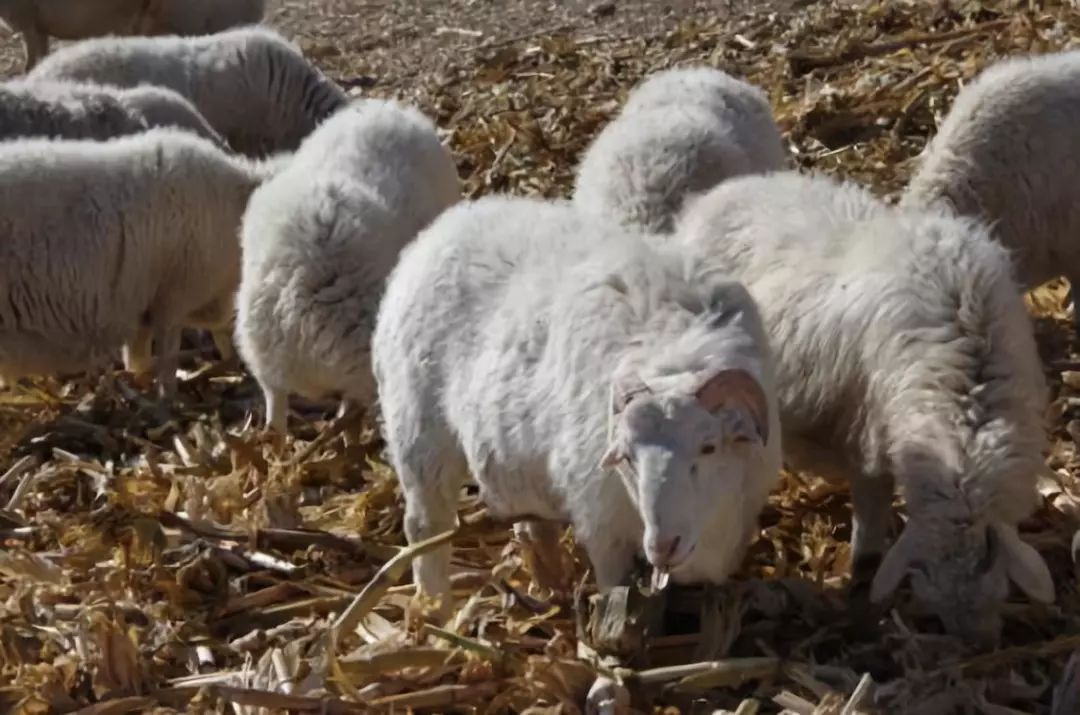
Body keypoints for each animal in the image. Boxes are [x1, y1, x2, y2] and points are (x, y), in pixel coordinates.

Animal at [678, 170, 1049, 648]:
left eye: (993, 568)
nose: (978, 644)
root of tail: (720, 192)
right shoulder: (870, 438)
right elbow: (870, 536)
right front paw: (861, 594)